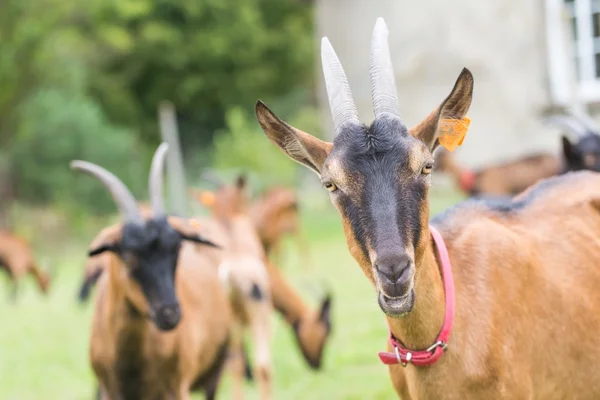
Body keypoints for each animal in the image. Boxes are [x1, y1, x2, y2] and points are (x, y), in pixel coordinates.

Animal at [74, 145, 233, 400]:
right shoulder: (109, 390)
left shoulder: (177, 387)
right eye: (129, 255)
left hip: (215, 369)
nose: (169, 314)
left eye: (177, 248)